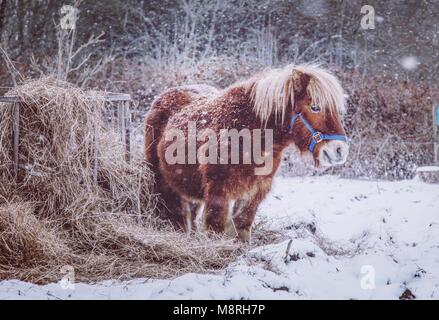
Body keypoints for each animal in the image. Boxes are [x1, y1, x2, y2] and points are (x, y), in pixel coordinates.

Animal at [146, 63, 348, 241]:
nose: (340, 150)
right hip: (163, 183)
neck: (251, 133)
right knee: (177, 219)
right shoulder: (218, 190)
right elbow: (215, 229)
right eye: (315, 107)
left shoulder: (257, 190)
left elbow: (242, 226)